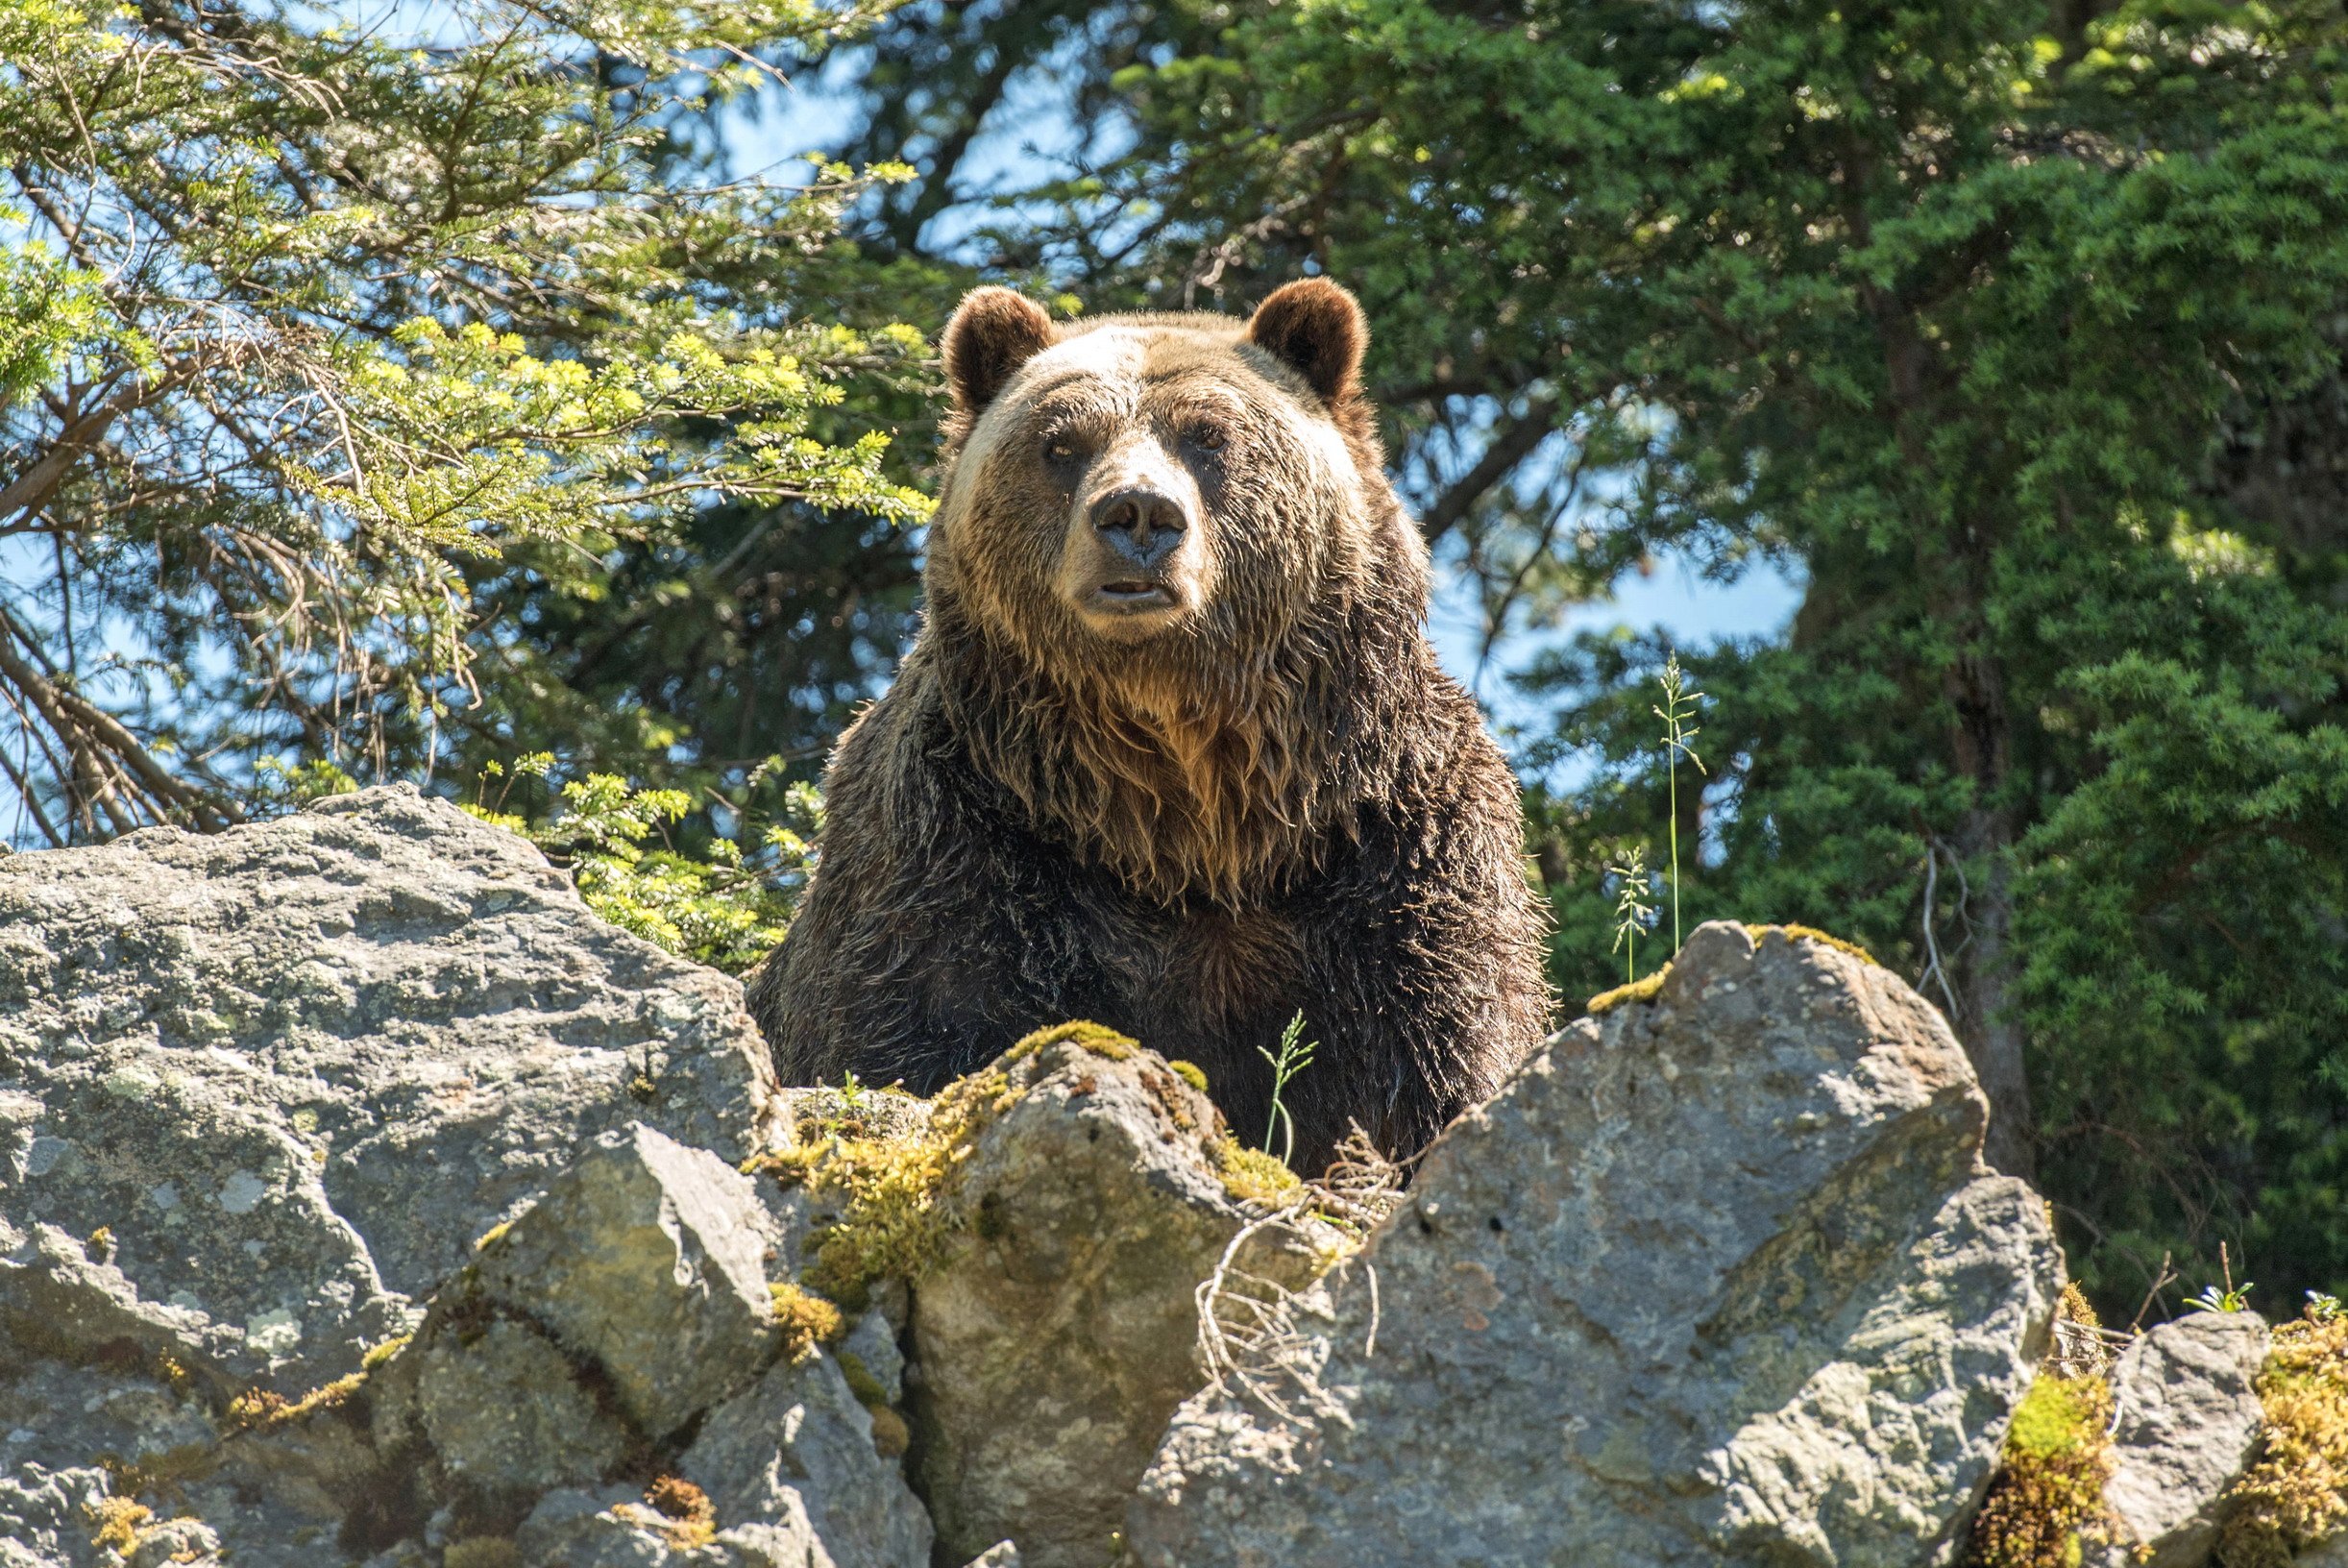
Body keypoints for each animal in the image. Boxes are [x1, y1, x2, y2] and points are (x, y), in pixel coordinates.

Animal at [751, 282, 1550, 1168]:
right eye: (1061, 443)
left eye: (1210, 435)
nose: (1138, 513)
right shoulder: (959, 845)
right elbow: (911, 1029)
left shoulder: (1395, 849)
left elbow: (1440, 1055)